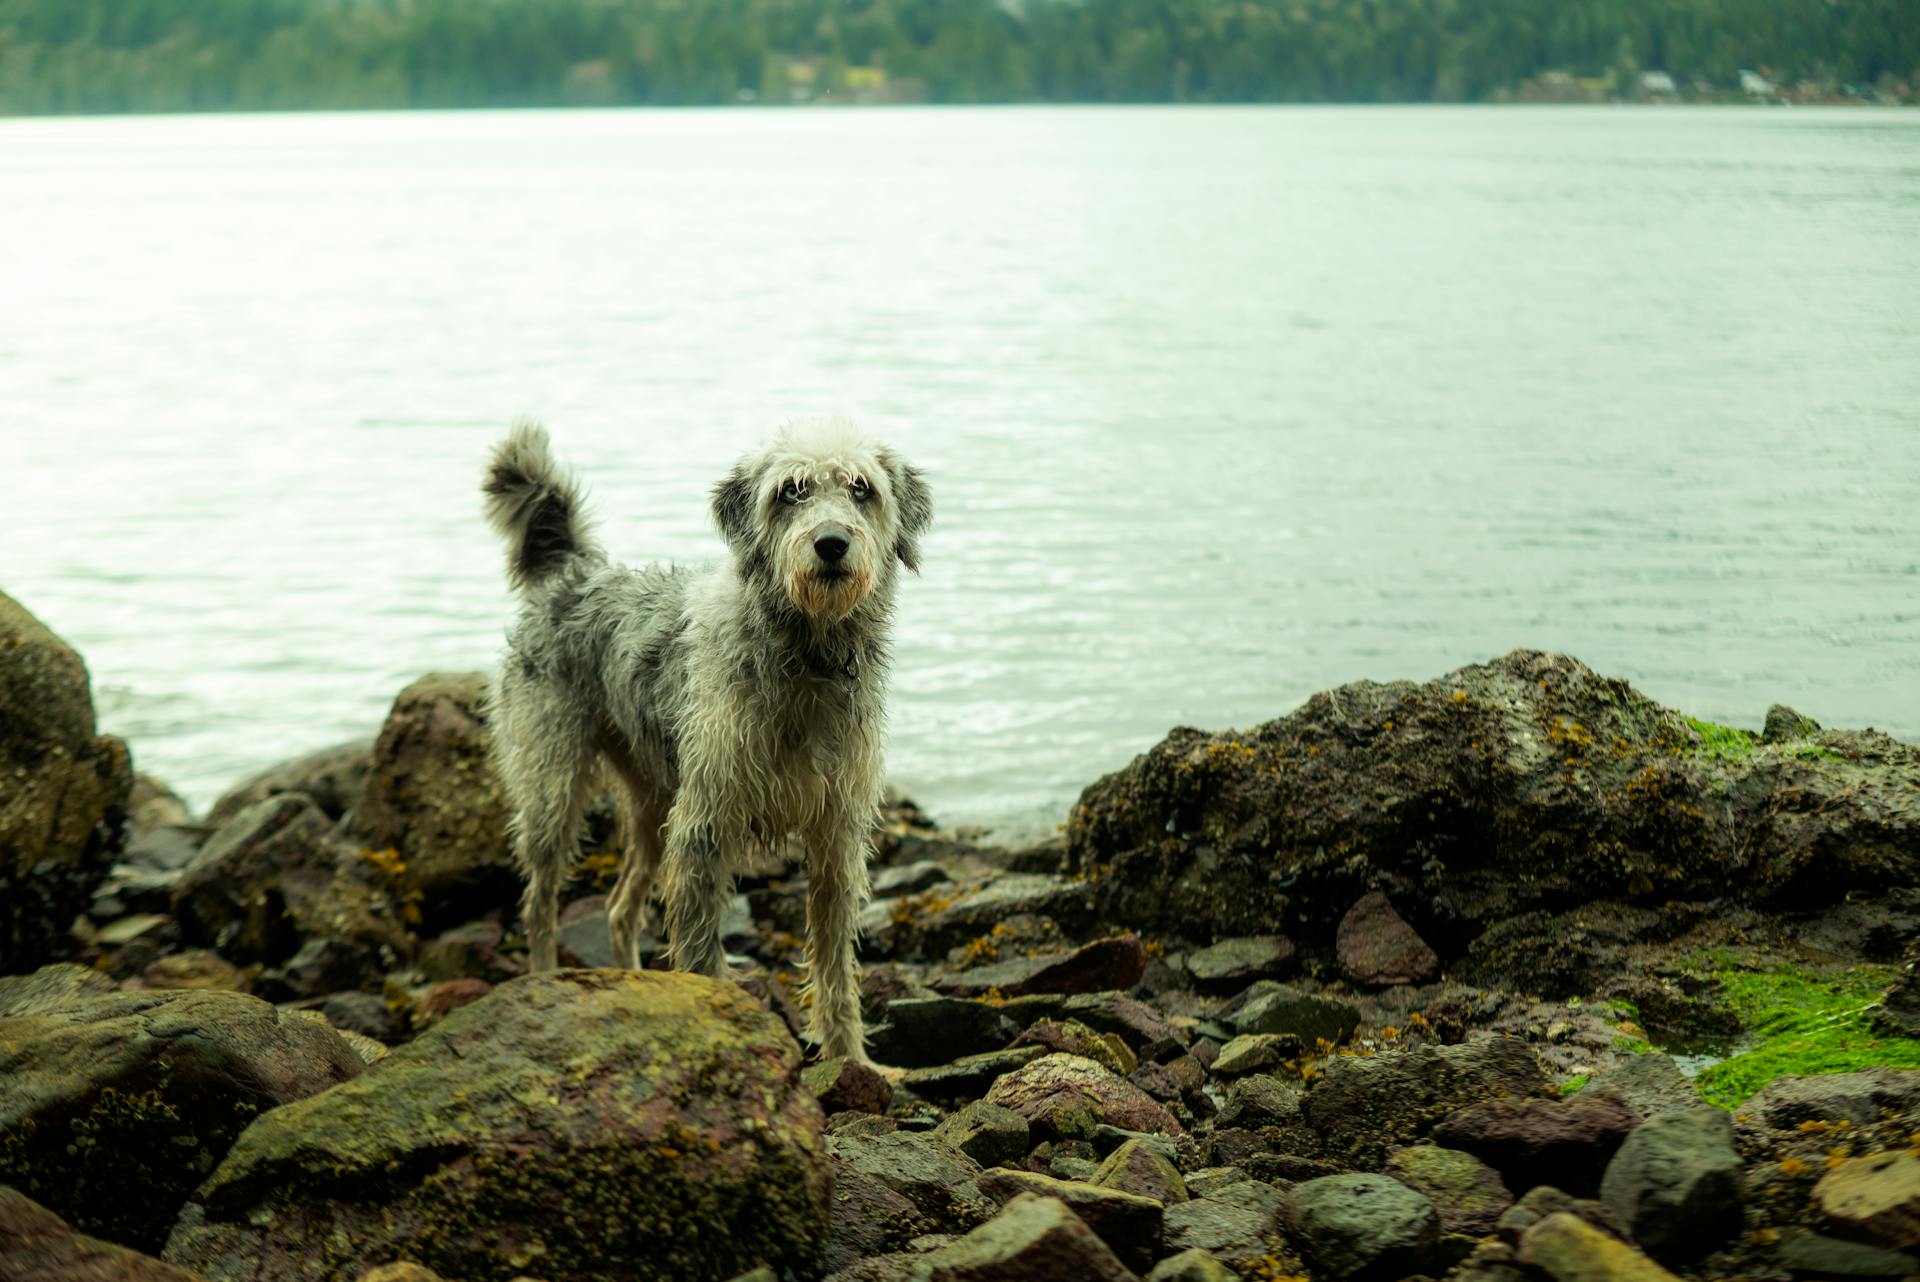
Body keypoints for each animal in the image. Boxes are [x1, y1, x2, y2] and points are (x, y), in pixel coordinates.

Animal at [480, 420, 929, 1059]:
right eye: (790, 491)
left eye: (861, 488)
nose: (831, 543)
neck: (804, 658)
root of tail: (576, 572)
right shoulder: (705, 826)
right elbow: (699, 948)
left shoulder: (837, 833)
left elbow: (834, 963)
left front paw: (852, 1060)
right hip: (554, 787)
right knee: (539, 903)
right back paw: (543, 978)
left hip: (654, 801)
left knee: (619, 908)